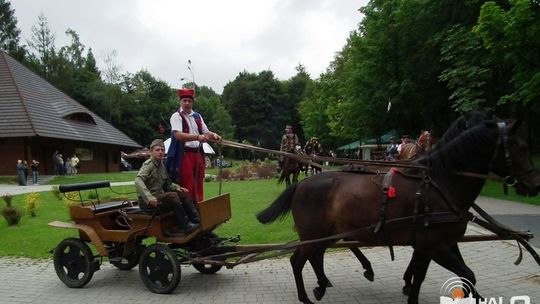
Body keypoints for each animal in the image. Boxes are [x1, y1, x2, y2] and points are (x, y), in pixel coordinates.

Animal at [258, 114, 540, 304]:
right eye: (522, 147)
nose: (535, 184)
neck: (439, 182)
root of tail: (303, 183)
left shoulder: (434, 244)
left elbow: (426, 276)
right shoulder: (434, 244)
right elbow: (464, 273)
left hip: (328, 233)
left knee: (317, 255)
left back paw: (324, 284)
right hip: (314, 234)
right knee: (298, 261)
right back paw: (309, 295)